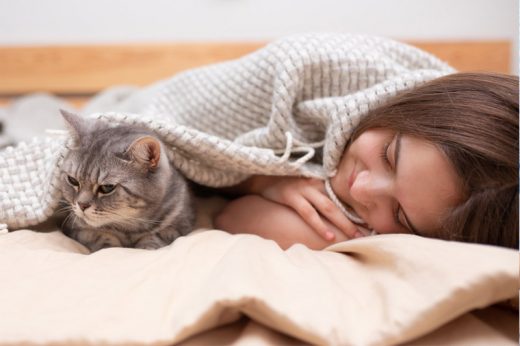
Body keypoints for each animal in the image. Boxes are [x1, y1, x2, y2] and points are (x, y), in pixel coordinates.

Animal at [57, 111, 195, 251]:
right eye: (73, 180)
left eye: (107, 187)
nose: (82, 205)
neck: (128, 228)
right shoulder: (76, 228)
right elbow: (100, 237)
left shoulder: (180, 224)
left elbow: (154, 237)